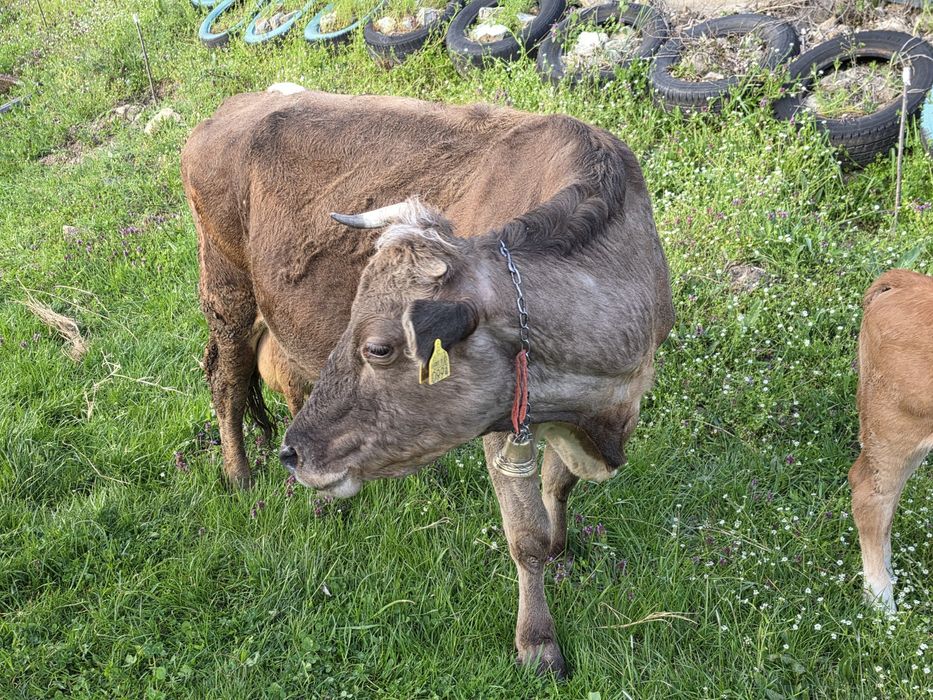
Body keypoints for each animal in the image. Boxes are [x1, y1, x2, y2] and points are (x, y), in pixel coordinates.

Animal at [181, 86, 674, 676]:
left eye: (377, 347)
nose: (293, 454)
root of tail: (231, 109)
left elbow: (559, 485)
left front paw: (563, 548)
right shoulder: (504, 426)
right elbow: (524, 536)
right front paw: (537, 642)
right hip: (226, 291)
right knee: (226, 383)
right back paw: (240, 477)